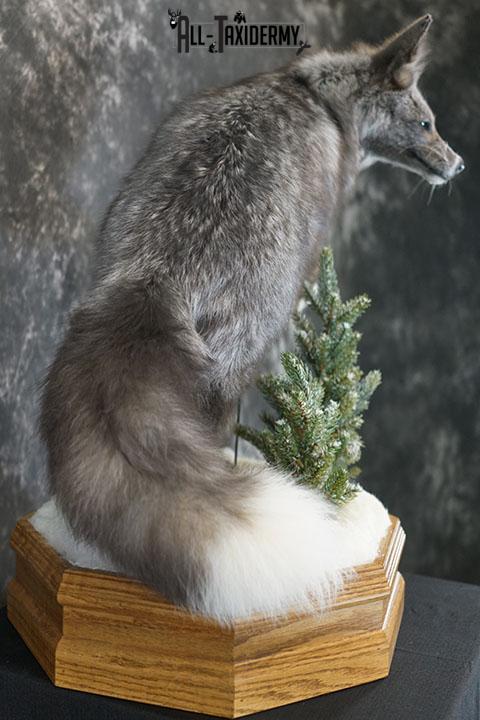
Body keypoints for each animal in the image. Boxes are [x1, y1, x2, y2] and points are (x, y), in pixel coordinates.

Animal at [39, 15, 464, 623]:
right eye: (426, 122)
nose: (459, 164)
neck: (315, 95)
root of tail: (158, 273)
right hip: (247, 341)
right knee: (216, 420)